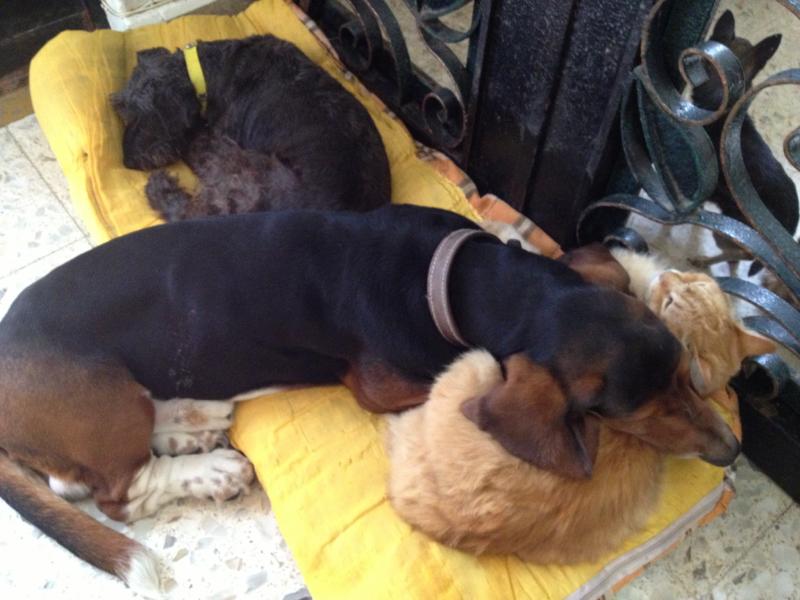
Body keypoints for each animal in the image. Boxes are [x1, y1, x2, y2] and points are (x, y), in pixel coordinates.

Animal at [0, 205, 739, 594]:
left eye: (685, 375)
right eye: (642, 412)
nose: (732, 450)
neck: (457, 275)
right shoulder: (383, 385)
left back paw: (191, 419)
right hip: (104, 400)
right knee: (103, 490)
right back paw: (207, 466)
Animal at [111, 35, 391, 220]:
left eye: (144, 117)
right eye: (121, 109)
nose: (128, 161)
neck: (205, 73)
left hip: (241, 169)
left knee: (193, 212)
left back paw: (159, 189)